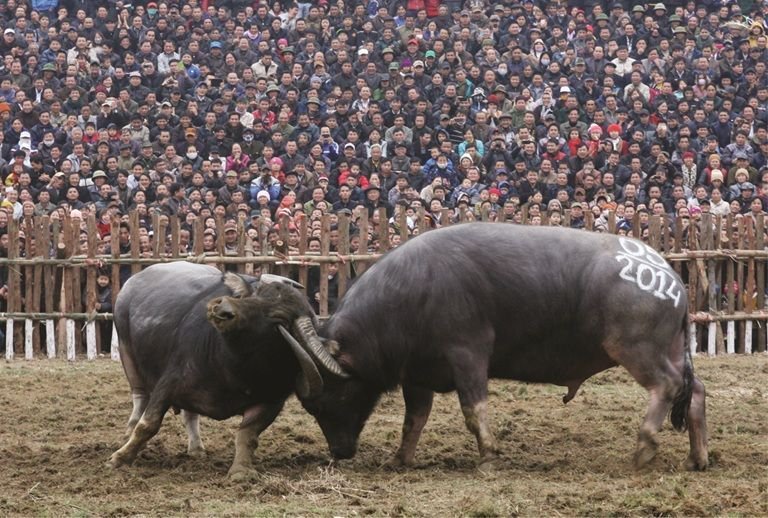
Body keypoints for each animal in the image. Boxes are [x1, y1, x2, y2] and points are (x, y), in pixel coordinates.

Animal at [106, 264, 346, 480]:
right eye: (254, 295)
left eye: (279, 318)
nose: (221, 307)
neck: (233, 366)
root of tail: (131, 283)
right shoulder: (168, 383)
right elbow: (149, 424)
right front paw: (120, 458)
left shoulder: (271, 401)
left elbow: (247, 435)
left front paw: (240, 471)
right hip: (127, 352)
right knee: (139, 398)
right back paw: (127, 433)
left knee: (190, 414)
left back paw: (196, 448)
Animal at [298, 223, 708, 472]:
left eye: (328, 399)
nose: (339, 452)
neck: (412, 292)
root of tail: (669, 276)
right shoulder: (417, 374)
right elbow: (413, 420)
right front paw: (401, 459)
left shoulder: (467, 354)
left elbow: (473, 409)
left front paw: (489, 456)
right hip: (671, 349)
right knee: (696, 391)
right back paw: (697, 457)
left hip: (637, 348)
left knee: (667, 386)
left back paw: (644, 447)